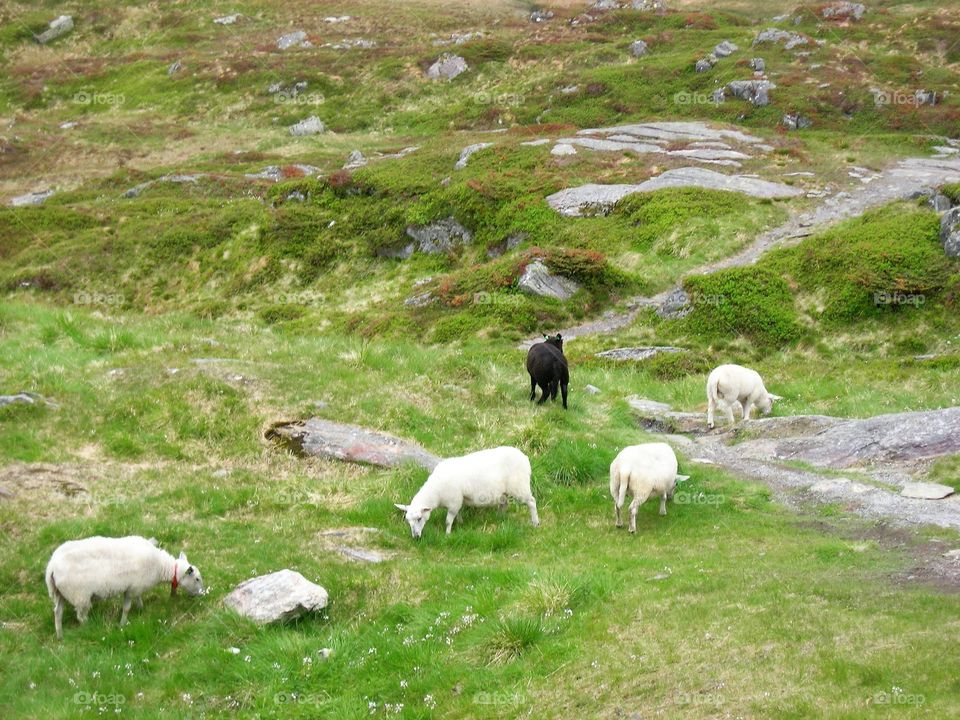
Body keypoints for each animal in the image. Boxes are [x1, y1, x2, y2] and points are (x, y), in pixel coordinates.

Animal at [45, 535, 204, 639]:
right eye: (197, 579)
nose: (203, 593)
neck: (161, 566)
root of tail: (52, 566)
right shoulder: (132, 588)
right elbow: (127, 608)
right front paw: (122, 624)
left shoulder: (136, 587)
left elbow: (138, 599)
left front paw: (141, 610)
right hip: (80, 595)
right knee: (81, 616)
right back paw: (91, 626)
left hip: (60, 593)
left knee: (57, 612)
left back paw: (60, 636)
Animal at [395, 446, 539, 538]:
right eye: (407, 521)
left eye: (419, 518)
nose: (416, 537)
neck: (436, 493)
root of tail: (524, 457)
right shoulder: (458, 501)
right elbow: (458, 514)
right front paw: (460, 523)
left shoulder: (453, 502)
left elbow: (448, 521)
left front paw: (447, 535)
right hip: (504, 491)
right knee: (504, 503)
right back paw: (500, 517)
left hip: (520, 486)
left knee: (532, 502)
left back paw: (535, 523)